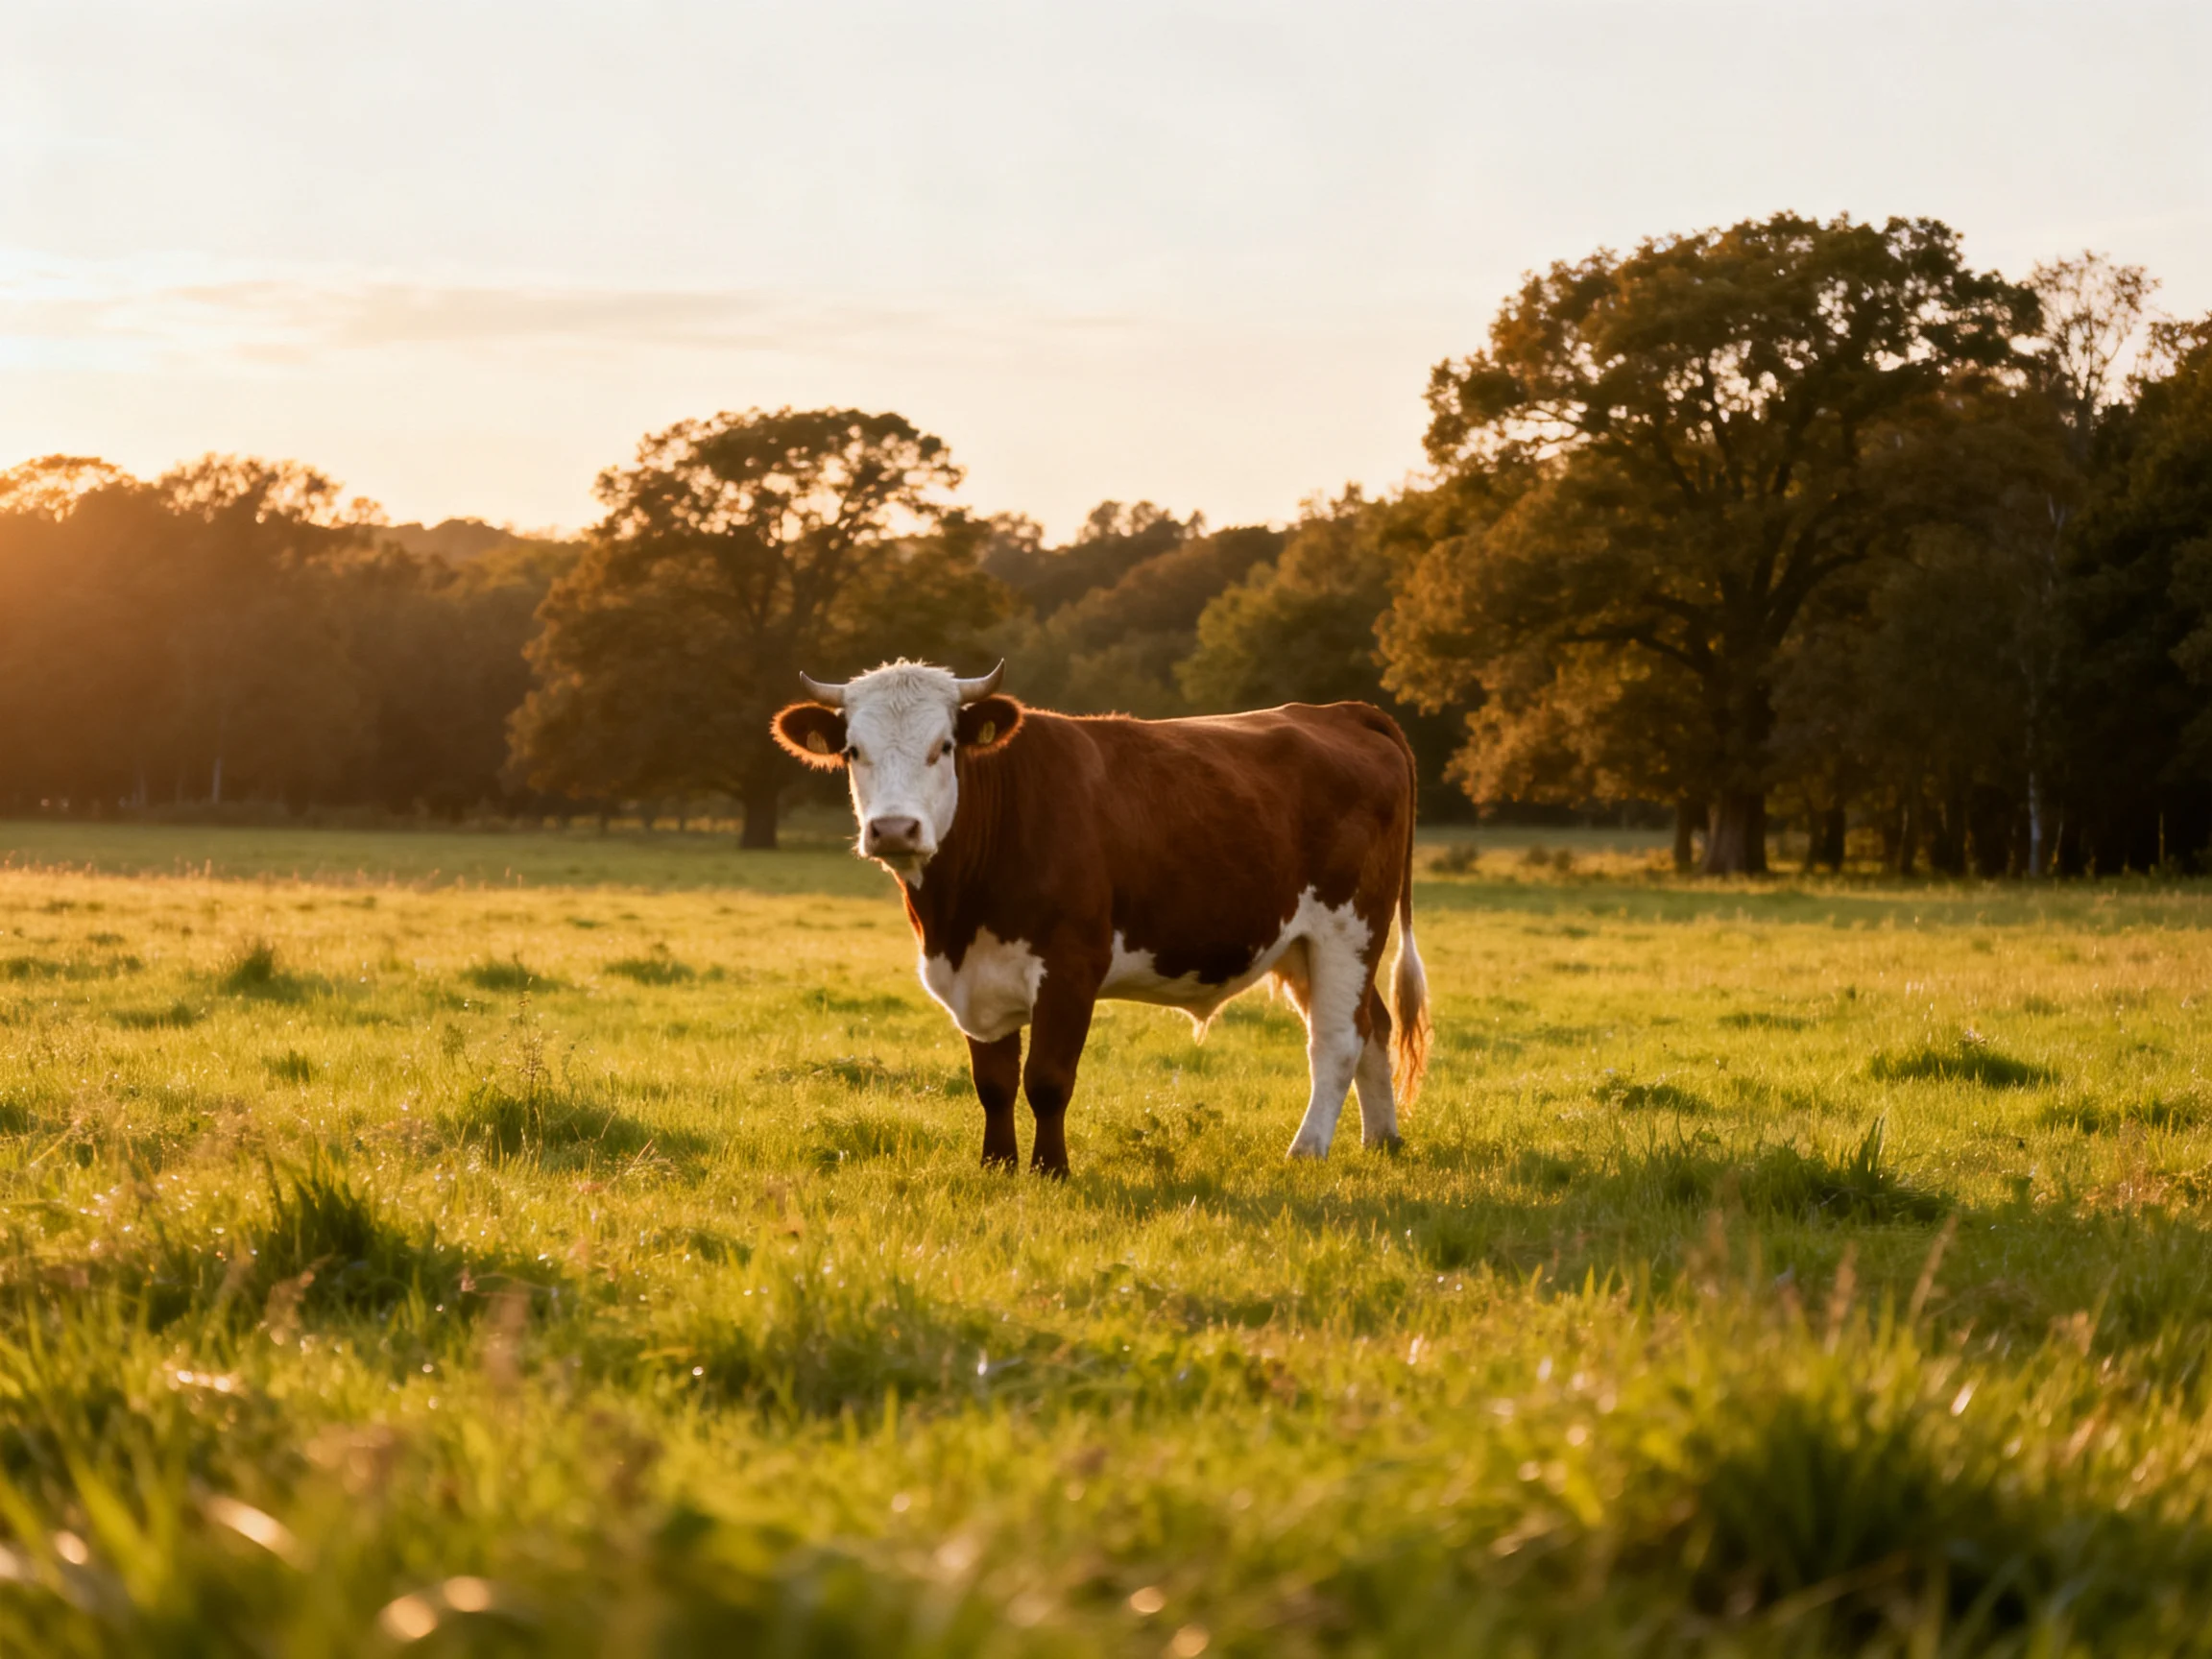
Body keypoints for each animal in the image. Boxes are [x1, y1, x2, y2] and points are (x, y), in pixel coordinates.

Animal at [771, 660, 1429, 1177]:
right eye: (854, 751)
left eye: (945, 748)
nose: (893, 829)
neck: (956, 917)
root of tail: (1339, 711)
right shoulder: (975, 976)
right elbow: (994, 1083)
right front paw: (997, 1166)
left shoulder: (1070, 966)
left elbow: (1046, 1079)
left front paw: (1051, 1171)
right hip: (1301, 944)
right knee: (1374, 1024)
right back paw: (1381, 1141)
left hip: (1349, 927)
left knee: (1338, 1039)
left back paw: (1307, 1150)